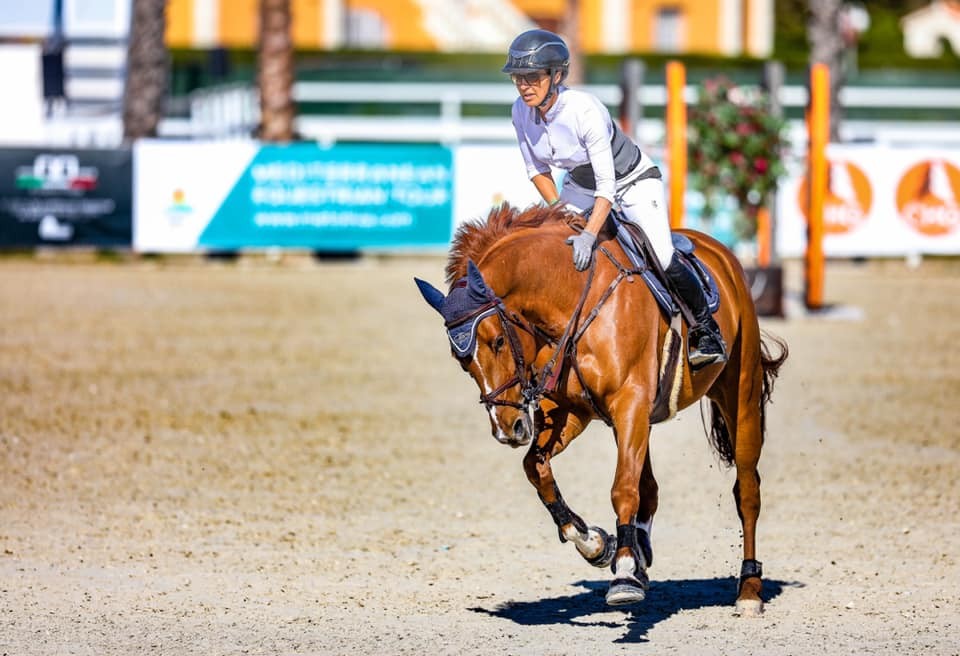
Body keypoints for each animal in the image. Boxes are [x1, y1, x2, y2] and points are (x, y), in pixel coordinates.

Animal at [414, 204, 788, 616]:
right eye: (462, 361)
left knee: (747, 491)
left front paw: (622, 573)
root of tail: (721, 252)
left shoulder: (629, 402)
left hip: (739, 394)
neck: (569, 298)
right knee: (649, 486)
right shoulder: (573, 410)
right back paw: (640, 556)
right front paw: (594, 543)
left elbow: (622, 489)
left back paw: (748, 589)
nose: (508, 429)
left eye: (497, 341)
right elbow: (536, 468)